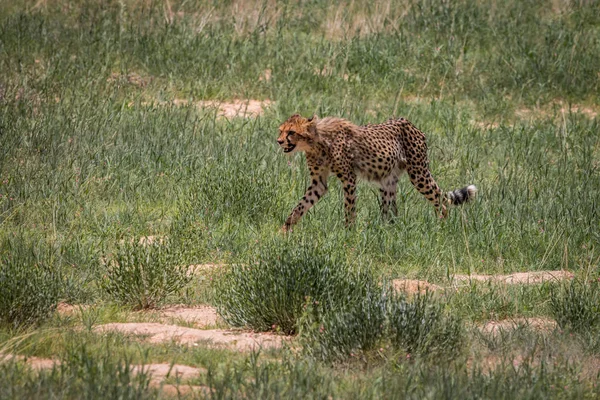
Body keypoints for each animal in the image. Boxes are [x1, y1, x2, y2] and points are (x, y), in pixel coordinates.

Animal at [276, 114, 478, 231]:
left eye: (291, 132)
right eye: (281, 130)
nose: (279, 141)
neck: (316, 142)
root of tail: (410, 123)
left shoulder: (349, 178)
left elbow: (349, 208)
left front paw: (348, 232)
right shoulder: (319, 182)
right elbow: (301, 205)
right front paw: (286, 229)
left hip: (418, 173)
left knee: (440, 199)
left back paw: (440, 227)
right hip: (388, 180)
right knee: (391, 209)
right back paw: (387, 231)